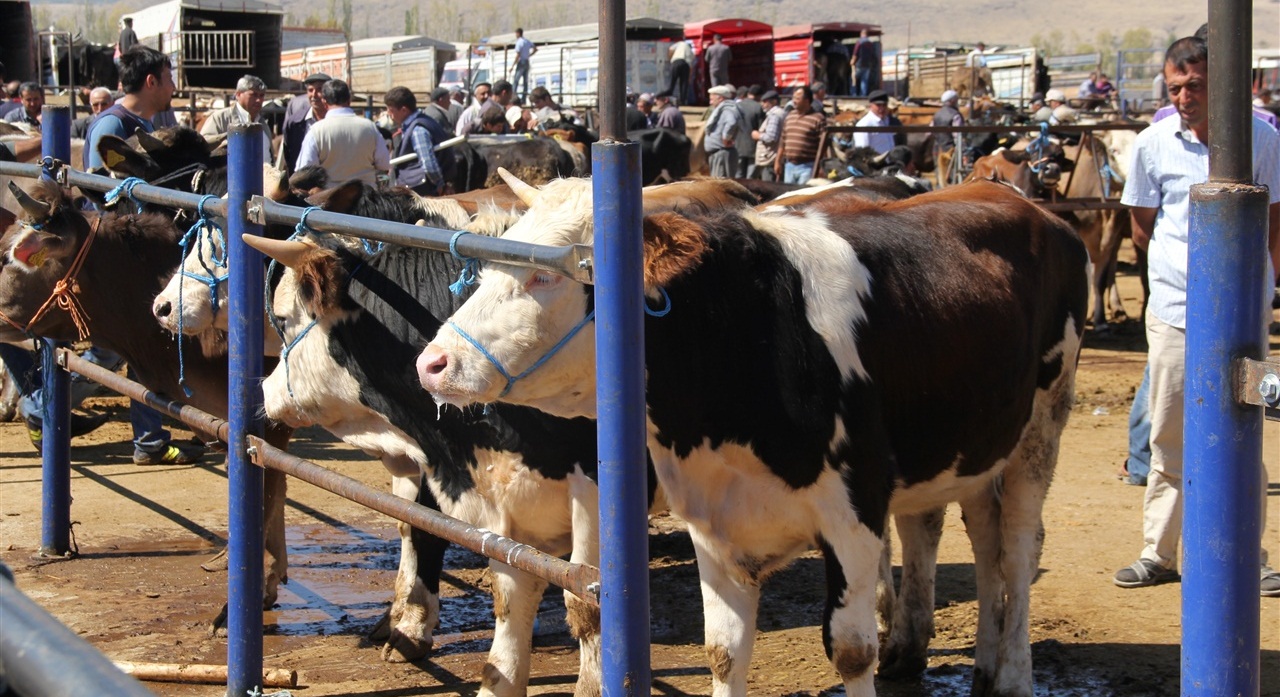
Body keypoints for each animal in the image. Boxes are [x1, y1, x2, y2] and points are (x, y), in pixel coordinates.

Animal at [417, 170, 1090, 695]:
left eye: (546, 277)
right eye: (487, 265)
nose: (434, 362)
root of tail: (1016, 197)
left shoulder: (854, 512)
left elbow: (852, 651)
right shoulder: (714, 524)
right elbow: (723, 651)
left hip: (1042, 429)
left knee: (1018, 546)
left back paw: (1014, 675)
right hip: (976, 442)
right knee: (978, 536)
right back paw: (980, 665)